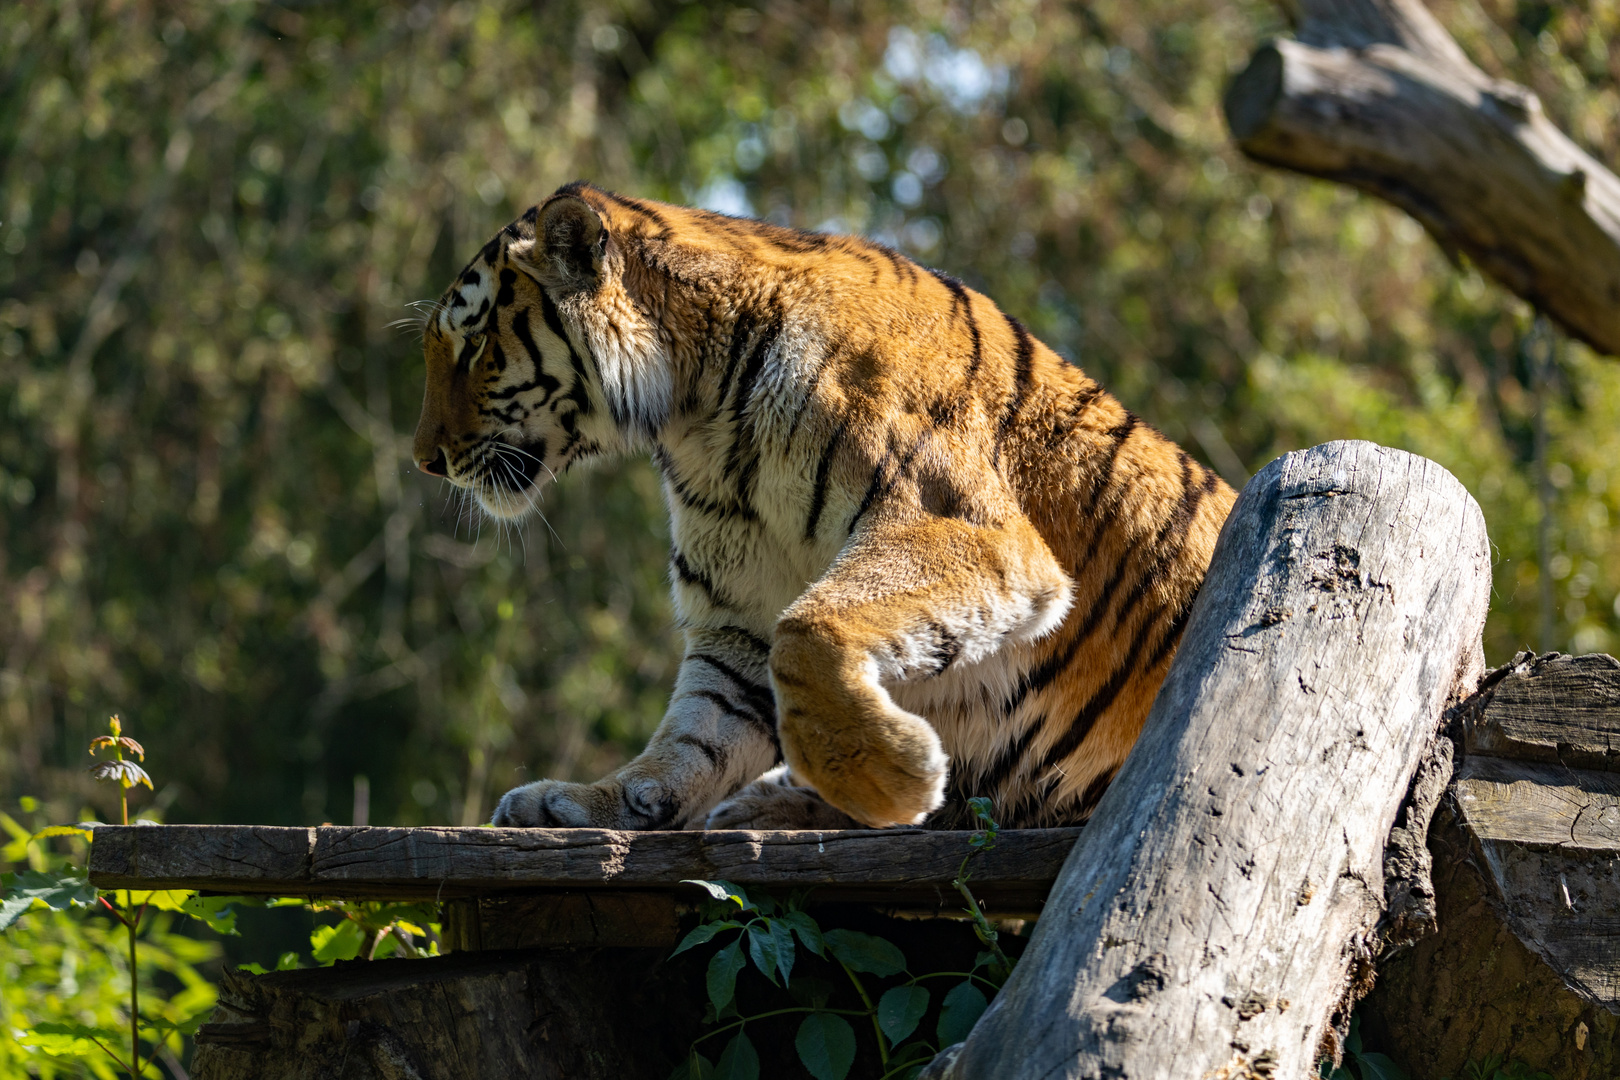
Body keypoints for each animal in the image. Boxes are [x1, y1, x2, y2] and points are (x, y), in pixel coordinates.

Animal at [411, 181, 1231, 835]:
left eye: (473, 345)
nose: (425, 460)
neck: (699, 416)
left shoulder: (961, 528)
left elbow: (807, 631)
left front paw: (893, 778)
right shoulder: (736, 614)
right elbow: (696, 734)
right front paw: (598, 802)